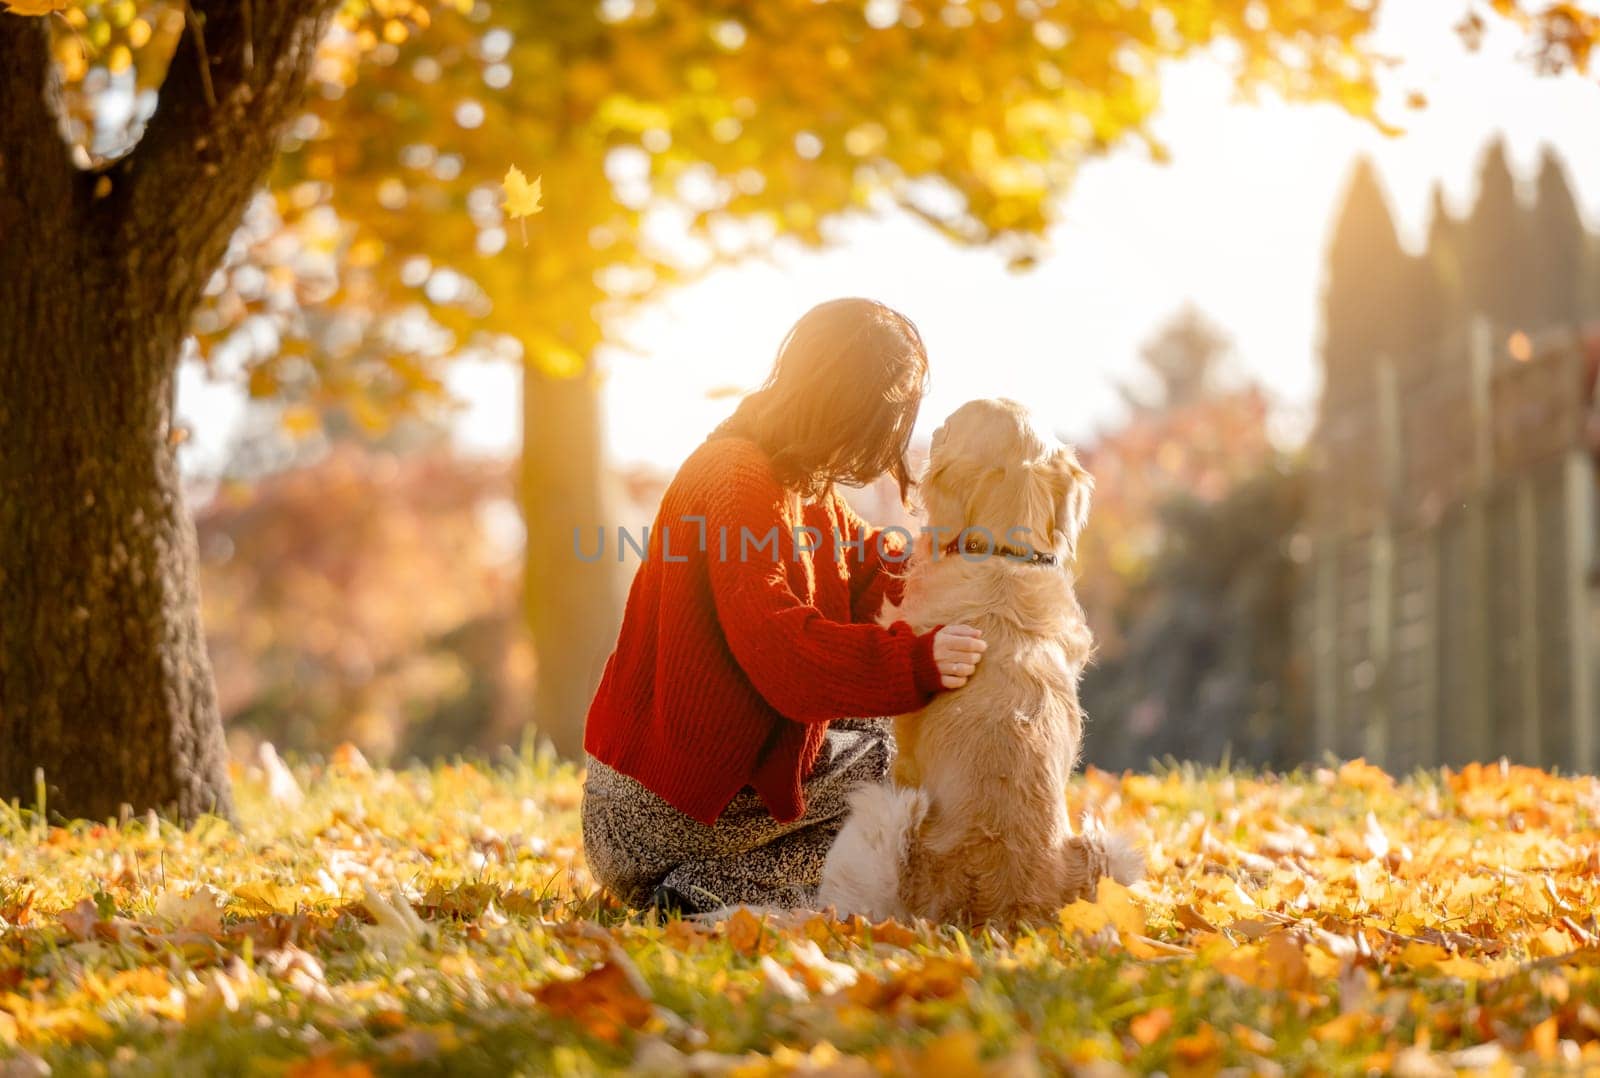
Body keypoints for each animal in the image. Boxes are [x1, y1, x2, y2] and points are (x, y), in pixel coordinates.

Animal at [819, 398, 1145, 921]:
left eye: (948, 426)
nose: (930, 429)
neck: (1004, 555)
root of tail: (1001, 908)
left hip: (878, 813)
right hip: (1112, 852)